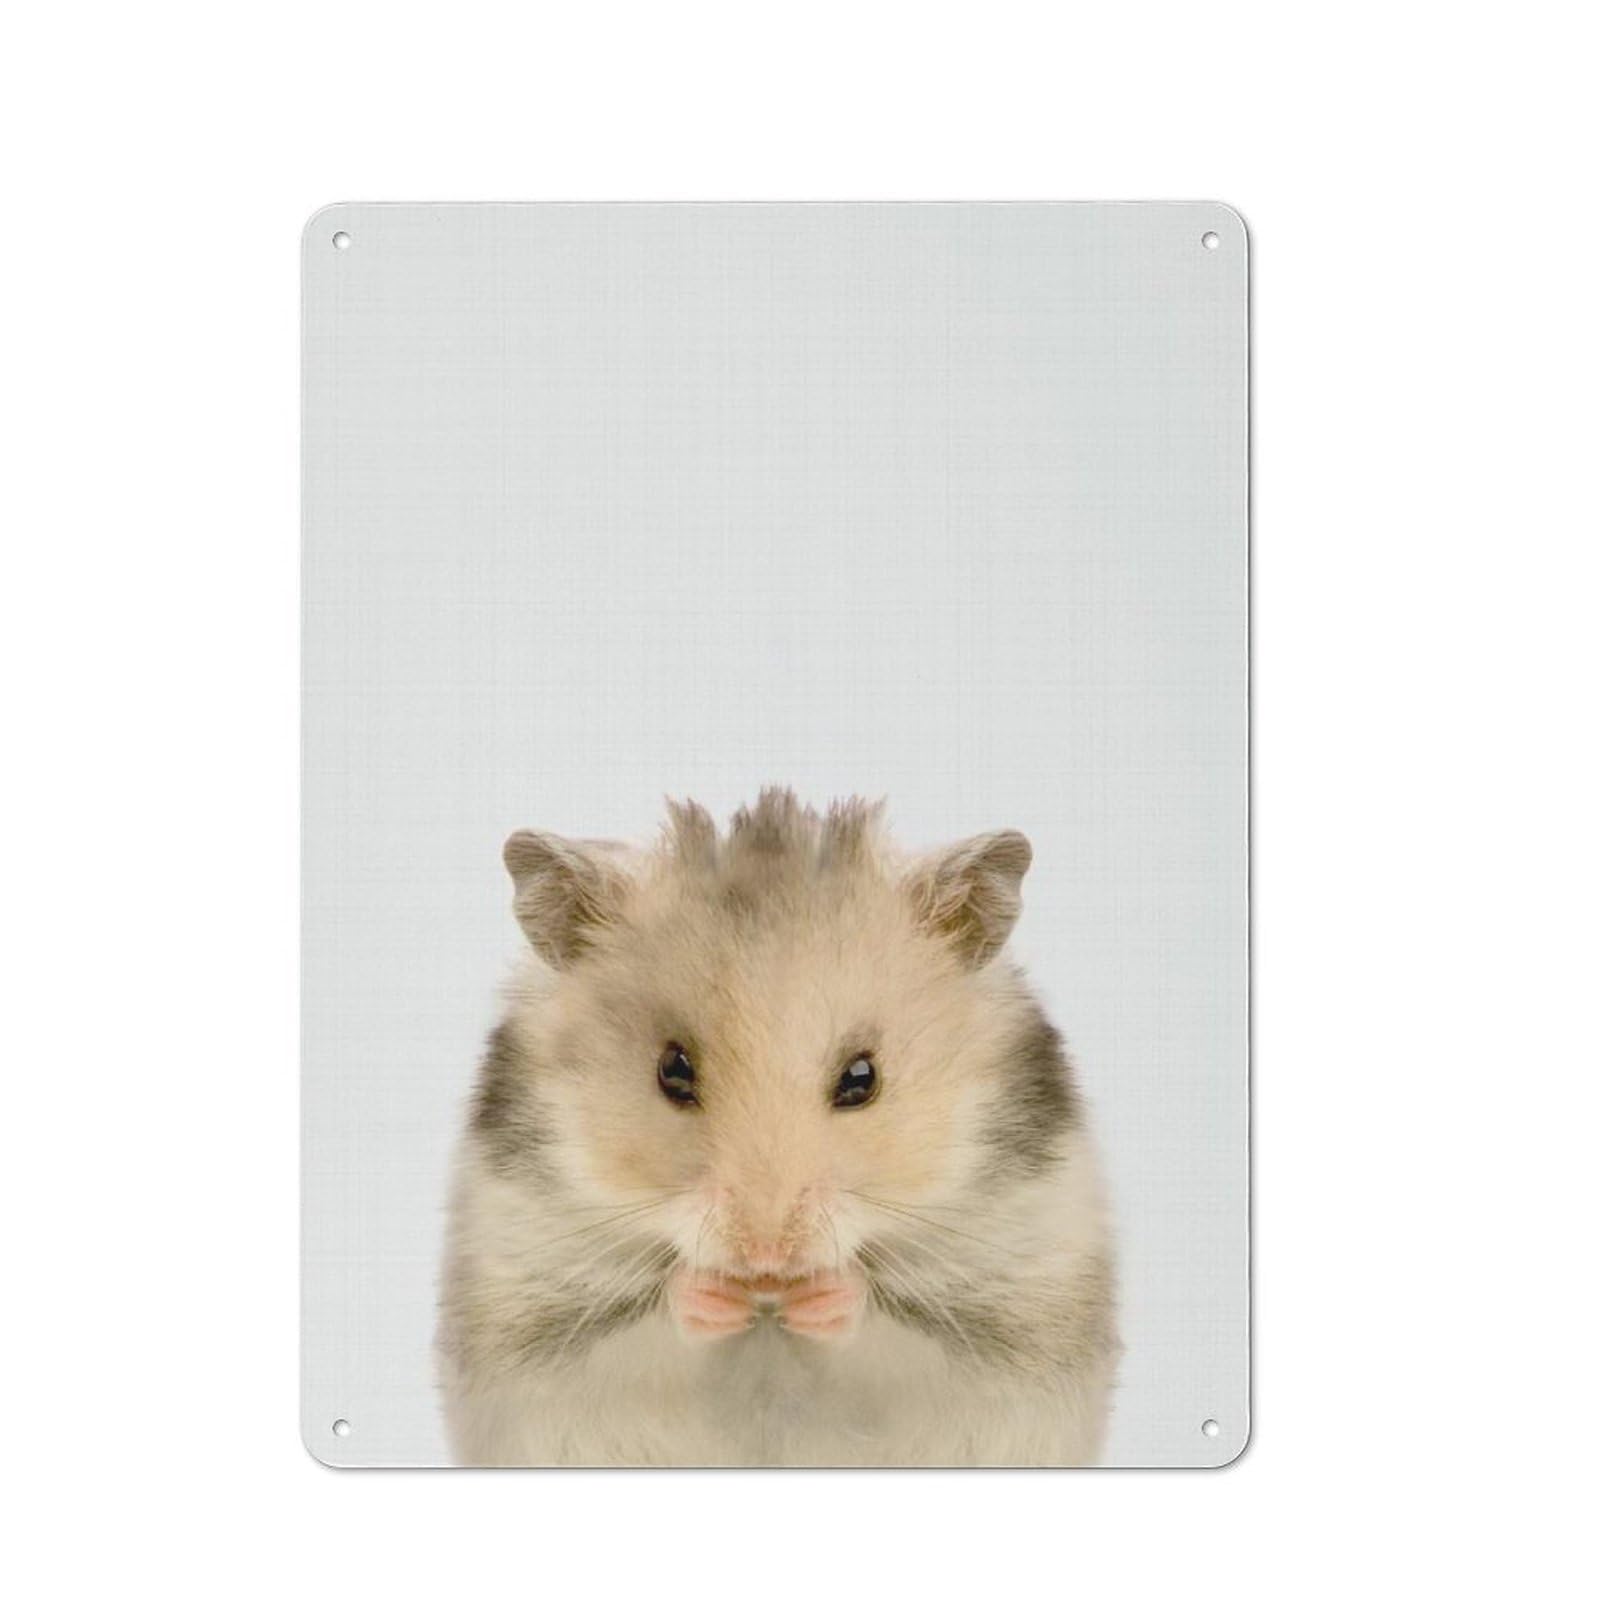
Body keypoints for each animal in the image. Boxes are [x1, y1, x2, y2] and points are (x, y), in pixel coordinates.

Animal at [437, 789, 1119, 1465]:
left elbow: (883, 1325)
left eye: (862, 1076)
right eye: (671, 1070)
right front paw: (712, 1295)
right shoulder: (535, 1312)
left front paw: (825, 1295)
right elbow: (653, 1325)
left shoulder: (1008, 1309)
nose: (765, 1259)